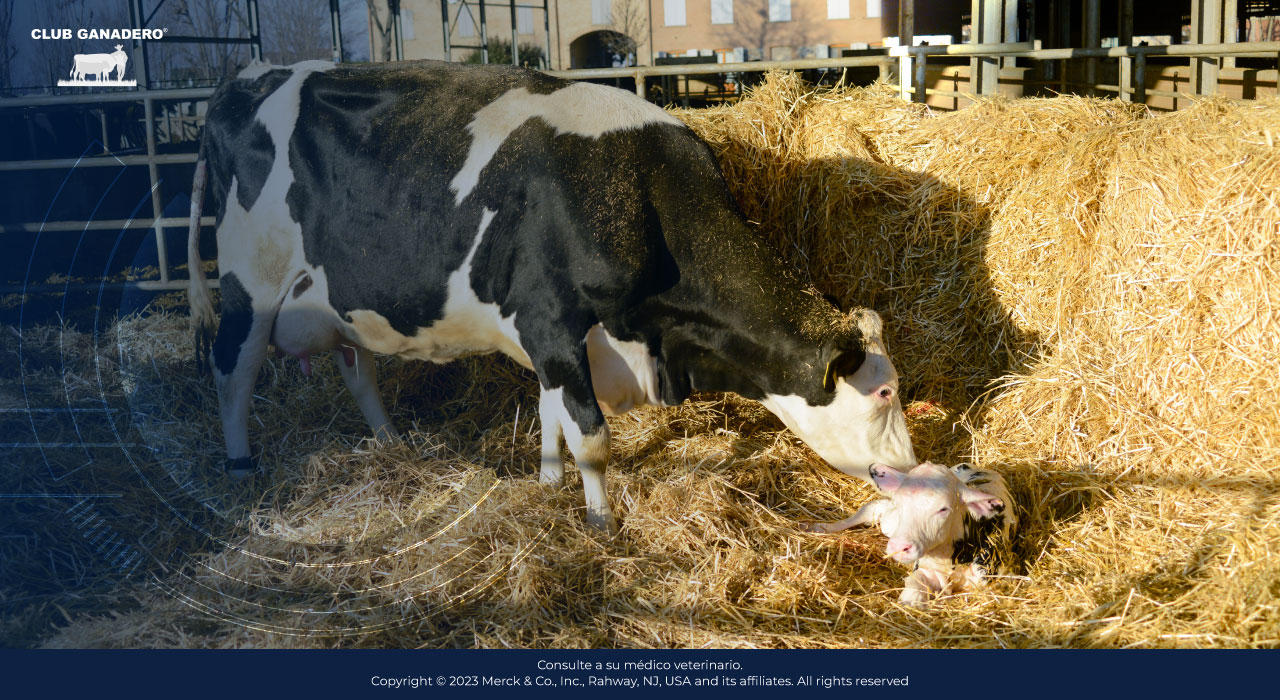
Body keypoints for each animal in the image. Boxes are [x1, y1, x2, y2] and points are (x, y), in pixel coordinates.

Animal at [185, 60, 916, 534]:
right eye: (882, 393)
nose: (911, 468)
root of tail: (245, 79)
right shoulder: (551, 321)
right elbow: (590, 435)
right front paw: (599, 520)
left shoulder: (560, 341)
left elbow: (551, 415)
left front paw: (547, 483)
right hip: (251, 284)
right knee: (231, 371)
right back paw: (240, 466)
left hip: (337, 298)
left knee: (356, 368)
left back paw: (391, 444)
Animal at [814, 463, 1013, 606]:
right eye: (899, 500)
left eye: (943, 508)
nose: (899, 547)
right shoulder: (924, 569)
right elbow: (914, 589)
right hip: (891, 522)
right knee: (874, 509)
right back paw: (818, 528)